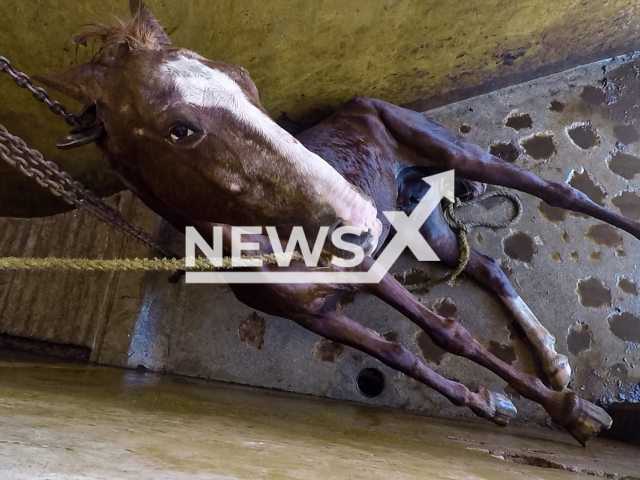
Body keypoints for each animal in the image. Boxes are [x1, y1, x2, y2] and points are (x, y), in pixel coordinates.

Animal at [31, 0, 636, 444]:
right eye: (180, 129)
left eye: (244, 77)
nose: (357, 214)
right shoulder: (319, 317)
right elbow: (400, 356)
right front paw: (491, 404)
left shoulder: (368, 268)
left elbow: (449, 333)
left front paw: (571, 414)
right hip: (423, 226)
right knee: (485, 265)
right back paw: (553, 361)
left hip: (457, 158)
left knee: (561, 194)